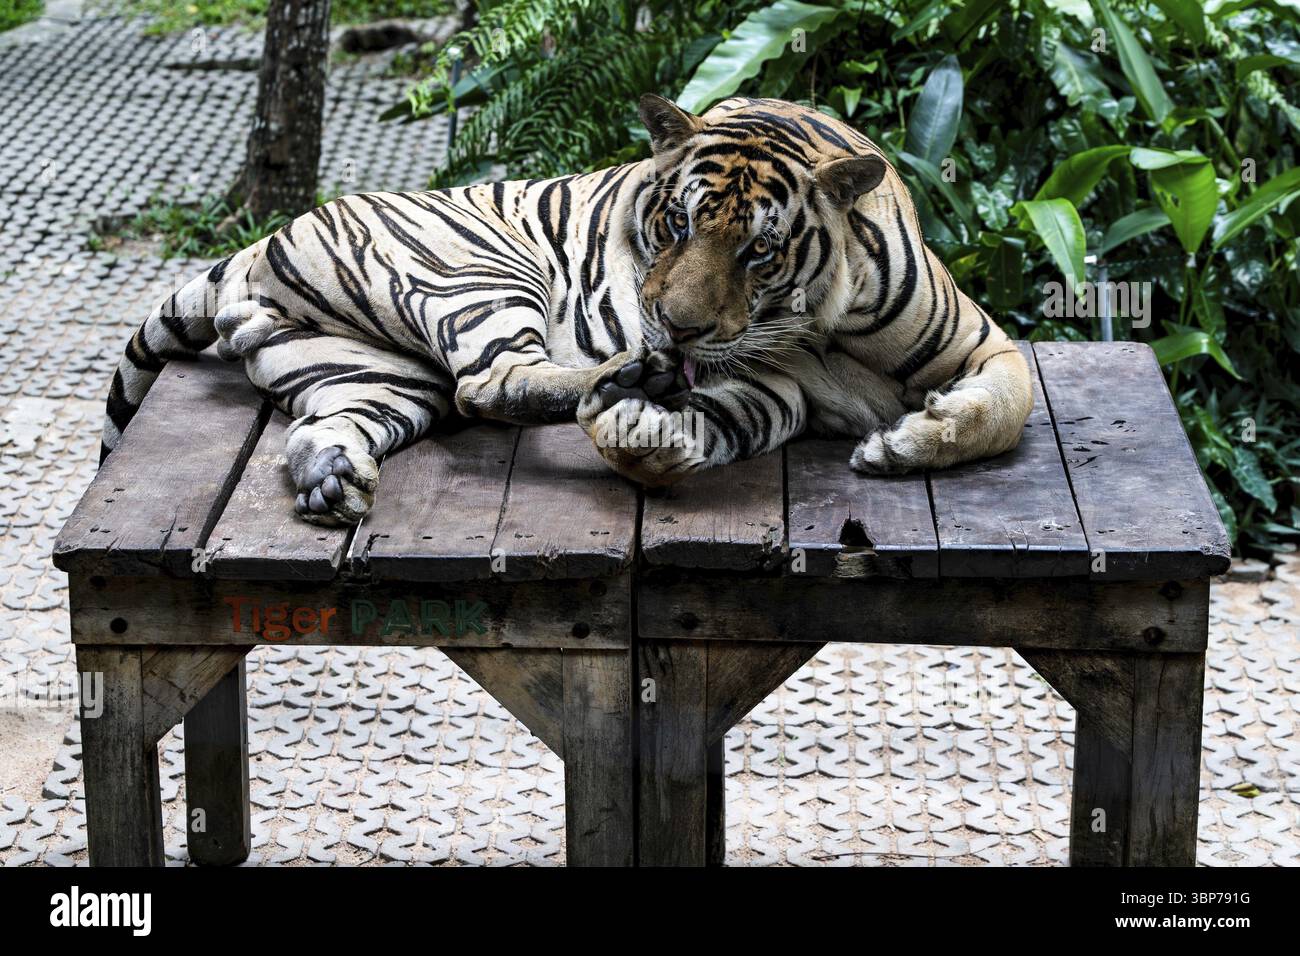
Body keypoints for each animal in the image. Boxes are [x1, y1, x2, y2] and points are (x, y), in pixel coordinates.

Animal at [100, 95, 1034, 526]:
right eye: (676, 224)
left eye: (757, 252)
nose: (676, 328)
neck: (818, 321)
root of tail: (259, 243)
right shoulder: (769, 373)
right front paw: (642, 415)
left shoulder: (981, 346)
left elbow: (1005, 406)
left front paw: (911, 439)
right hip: (479, 271)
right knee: (493, 381)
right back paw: (625, 373)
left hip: (372, 376)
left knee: (334, 424)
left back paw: (332, 480)